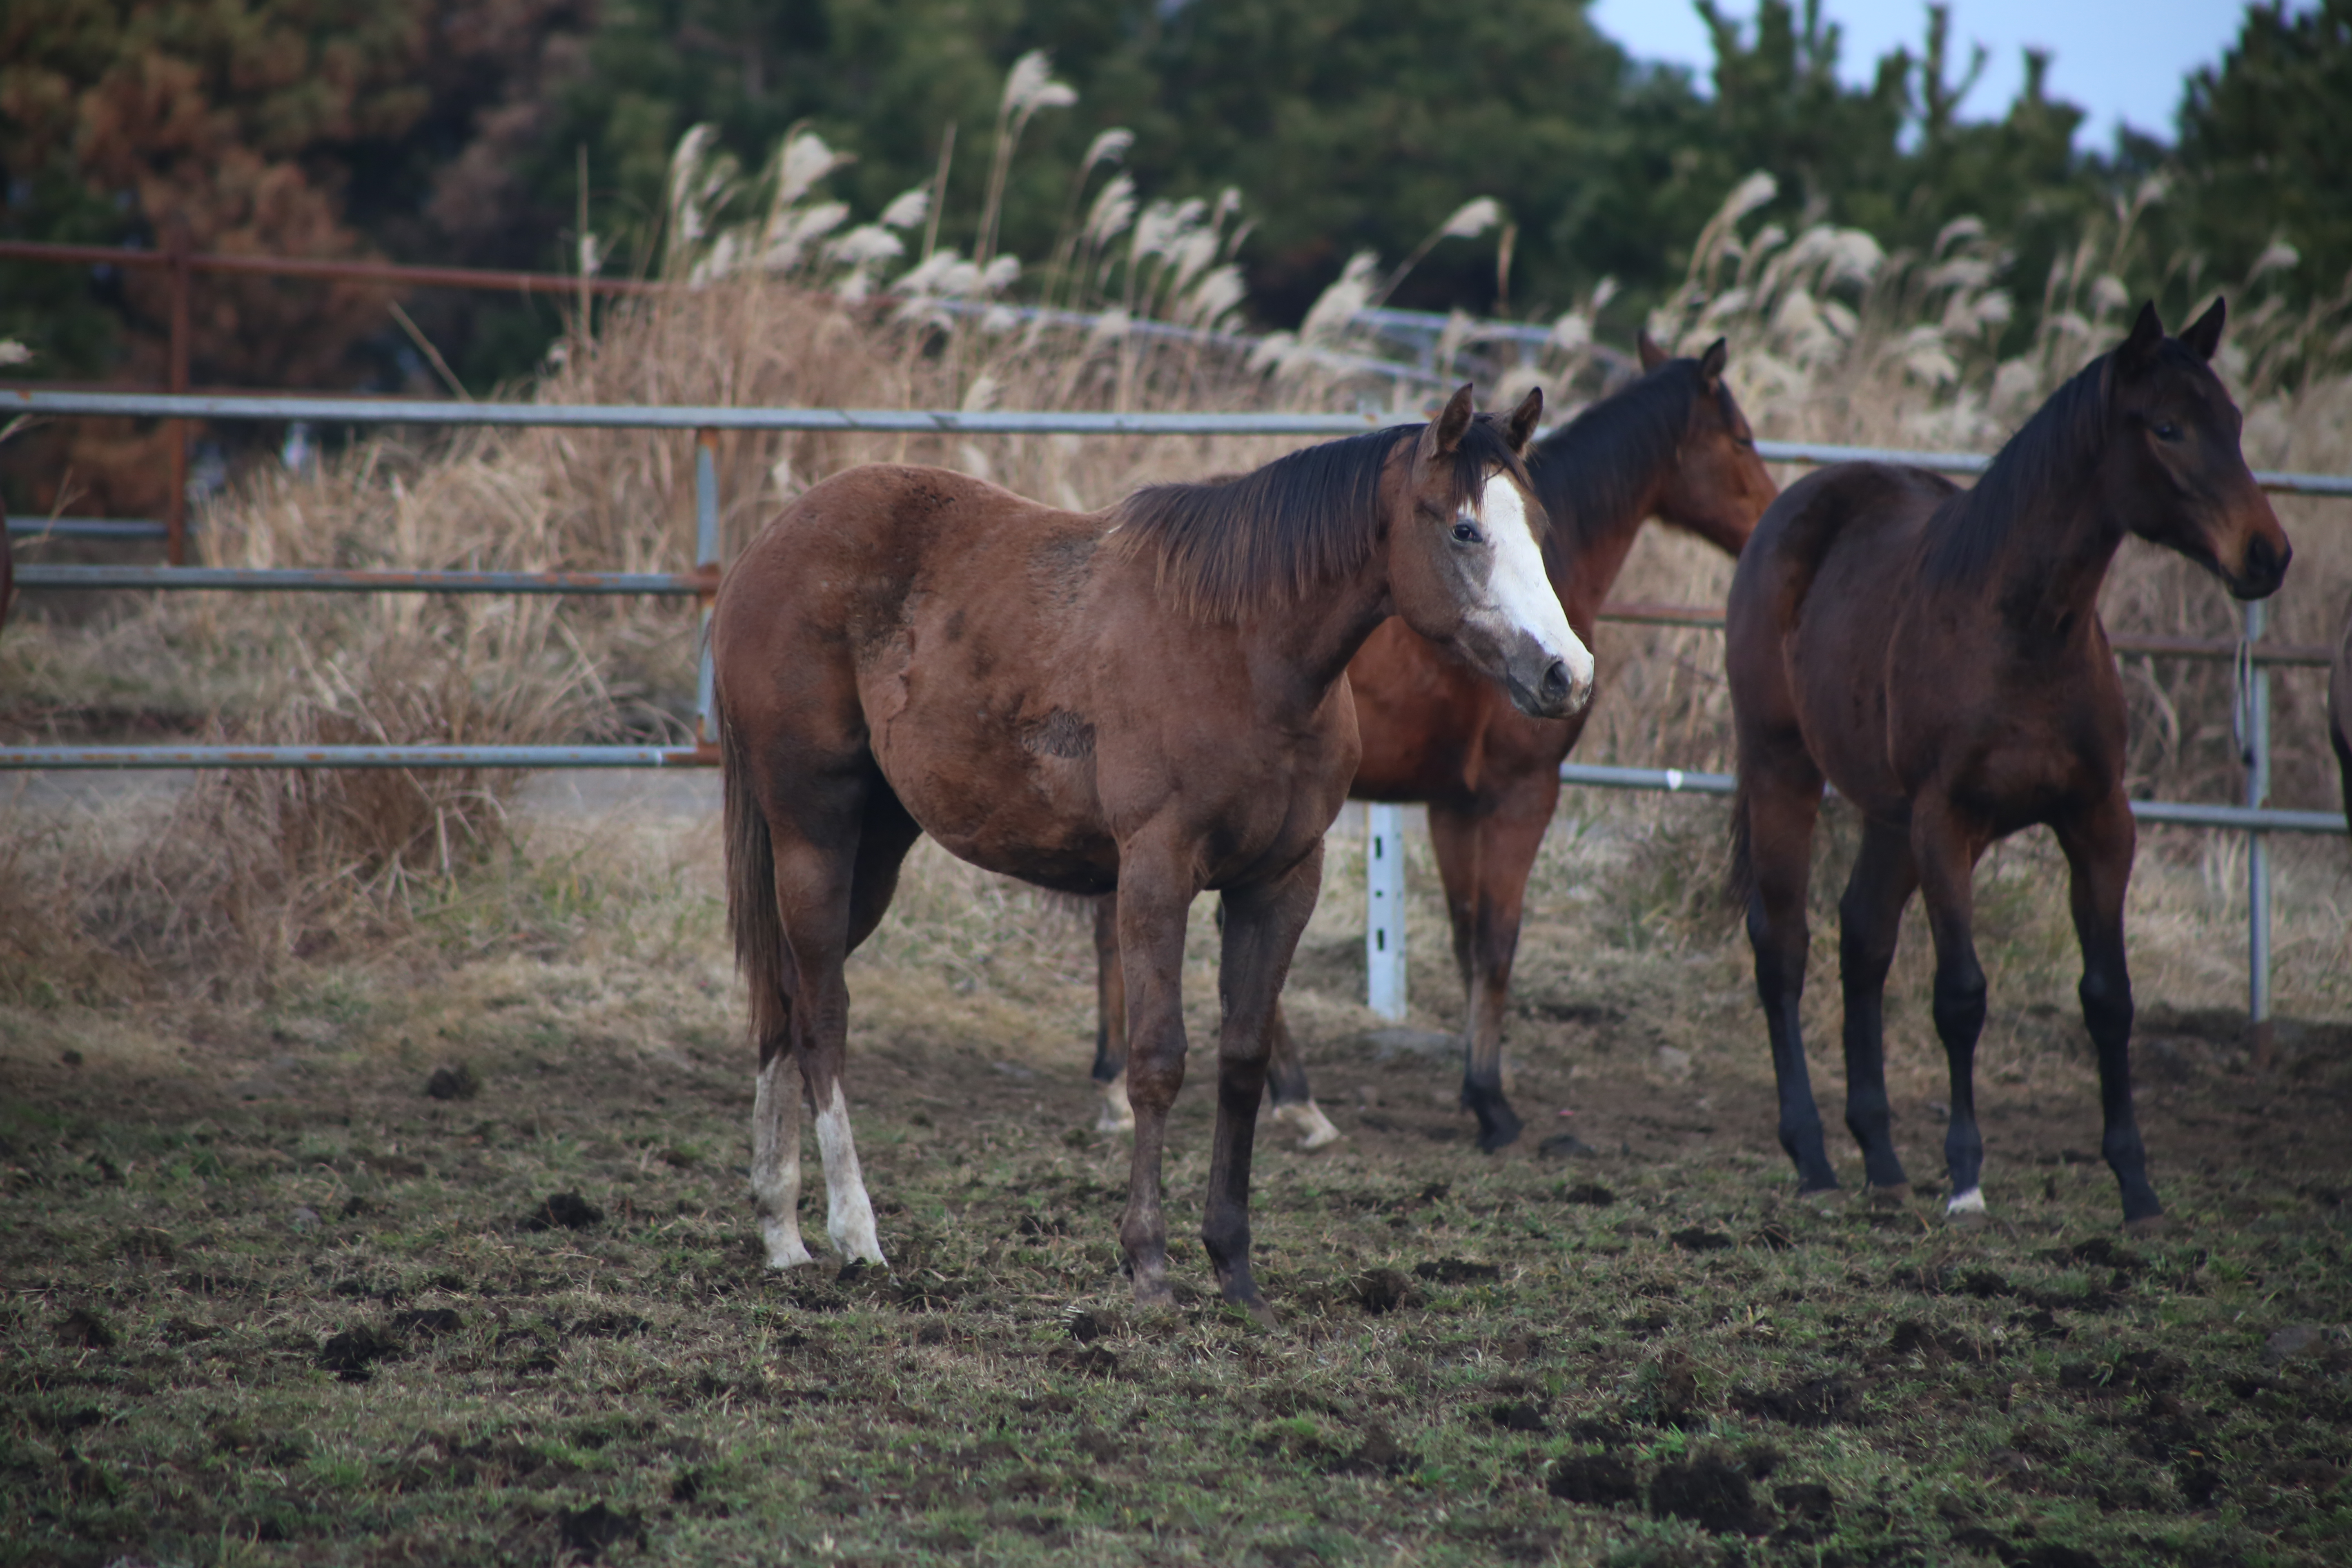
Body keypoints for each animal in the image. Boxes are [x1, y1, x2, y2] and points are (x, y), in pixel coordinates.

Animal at [719, 385, 1599, 1316]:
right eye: (1465, 530)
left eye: (1538, 525)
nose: (1567, 675)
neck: (1241, 651)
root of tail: (769, 545)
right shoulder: (1155, 872)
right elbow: (1157, 1060)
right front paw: (1148, 1261)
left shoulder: (1283, 881)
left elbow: (1243, 1060)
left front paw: (1234, 1266)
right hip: (816, 830)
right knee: (822, 1015)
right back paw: (855, 1235)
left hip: (877, 847)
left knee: (783, 1000)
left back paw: (781, 1232)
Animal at [1077, 334, 1768, 1142]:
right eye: (1742, 439)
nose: (1768, 517)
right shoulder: (1520, 794)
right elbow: (1496, 945)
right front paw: (1492, 1102)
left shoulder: (1452, 807)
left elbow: (1468, 940)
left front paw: (1477, 1086)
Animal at [1722, 303, 2286, 1241]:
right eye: (2167, 428)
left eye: (2236, 423)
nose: (2267, 554)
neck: (2023, 629)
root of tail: (1790, 508)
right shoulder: (1948, 823)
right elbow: (1961, 995)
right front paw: (1965, 1182)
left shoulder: (2099, 822)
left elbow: (2109, 998)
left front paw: (2137, 1190)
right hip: (1784, 772)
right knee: (1785, 945)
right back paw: (1814, 1159)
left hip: (1886, 816)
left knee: (1862, 937)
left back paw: (1881, 1162)